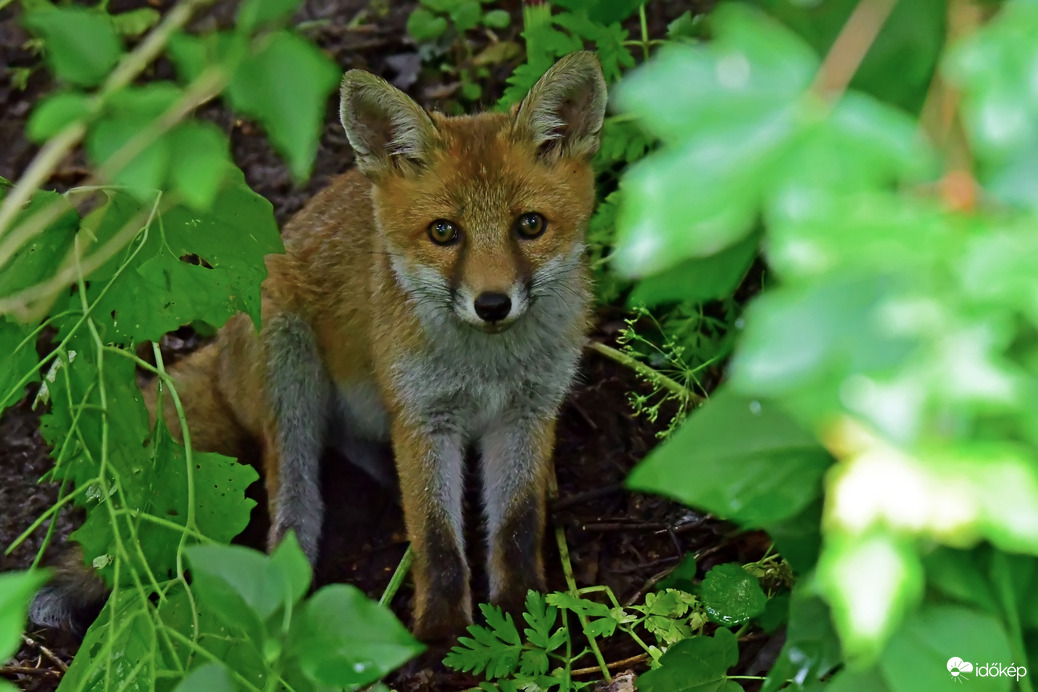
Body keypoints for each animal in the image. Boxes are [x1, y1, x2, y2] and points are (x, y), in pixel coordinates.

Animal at [28, 50, 606, 643]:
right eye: (444, 232)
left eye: (530, 225)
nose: (492, 304)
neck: (488, 368)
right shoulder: (422, 419)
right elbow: (436, 539)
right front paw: (441, 633)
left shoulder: (528, 413)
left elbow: (516, 527)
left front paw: (523, 614)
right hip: (291, 381)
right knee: (294, 509)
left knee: (349, 439)